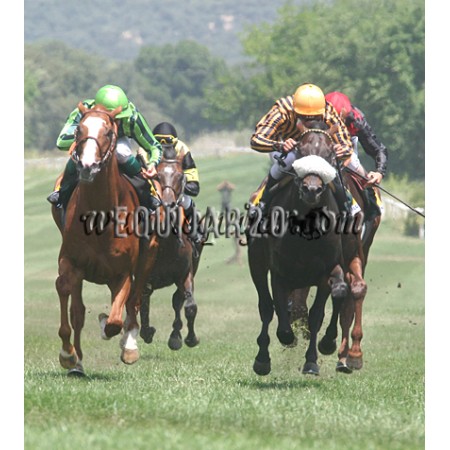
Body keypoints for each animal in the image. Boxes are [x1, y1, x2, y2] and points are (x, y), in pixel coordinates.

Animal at [51, 103, 142, 375]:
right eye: (78, 130)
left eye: (109, 132)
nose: (87, 166)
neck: (100, 216)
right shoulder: (71, 262)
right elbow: (66, 295)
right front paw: (68, 355)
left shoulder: (122, 273)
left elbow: (115, 320)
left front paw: (112, 331)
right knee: (76, 309)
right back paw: (77, 362)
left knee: (133, 302)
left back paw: (129, 344)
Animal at [132, 144, 203, 351]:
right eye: (157, 176)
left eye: (180, 176)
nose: (168, 203)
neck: (168, 243)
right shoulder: (144, 275)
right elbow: (142, 299)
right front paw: (147, 331)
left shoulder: (186, 273)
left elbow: (189, 306)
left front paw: (189, 338)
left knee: (177, 300)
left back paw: (176, 335)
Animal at [247, 120, 367, 376]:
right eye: (300, 151)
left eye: (330, 154)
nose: (312, 189)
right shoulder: (280, 271)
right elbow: (281, 314)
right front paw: (286, 338)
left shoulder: (328, 270)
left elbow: (319, 312)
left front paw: (314, 358)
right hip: (257, 262)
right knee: (266, 306)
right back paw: (263, 358)